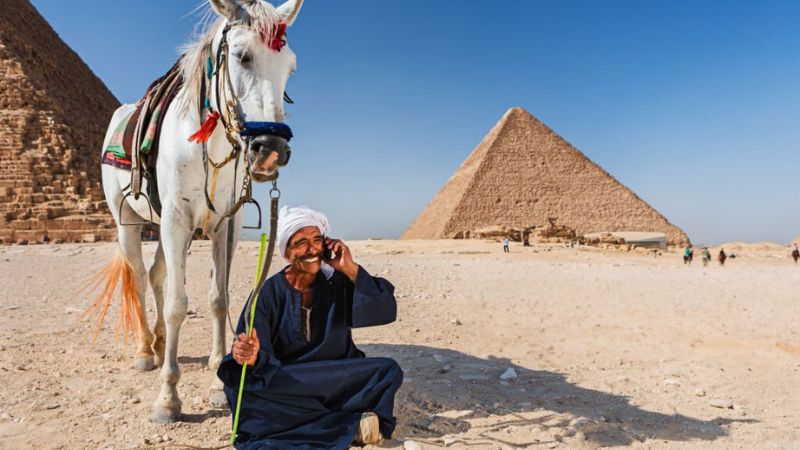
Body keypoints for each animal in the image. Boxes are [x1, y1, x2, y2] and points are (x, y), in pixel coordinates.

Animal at [96, 0, 304, 422]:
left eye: (290, 67)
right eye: (242, 55)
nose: (272, 149)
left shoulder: (225, 223)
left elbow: (218, 300)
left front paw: (218, 387)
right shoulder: (178, 221)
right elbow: (179, 305)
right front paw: (168, 399)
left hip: (163, 226)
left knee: (157, 274)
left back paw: (161, 343)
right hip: (130, 223)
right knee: (139, 278)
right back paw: (145, 350)